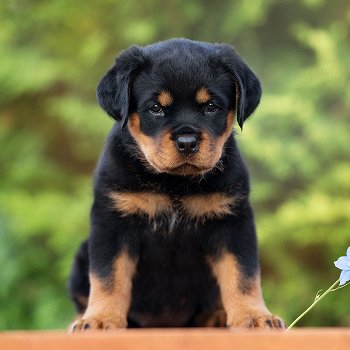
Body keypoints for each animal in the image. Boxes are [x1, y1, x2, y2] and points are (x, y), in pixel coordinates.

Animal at [67, 38, 284, 330]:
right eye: (156, 108)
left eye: (211, 106)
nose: (187, 142)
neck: (175, 183)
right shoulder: (112, 222)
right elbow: (107, 276)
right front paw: (101, 320)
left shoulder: (232, 222)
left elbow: (242, 274)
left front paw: (255, 316)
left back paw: (217, 316)